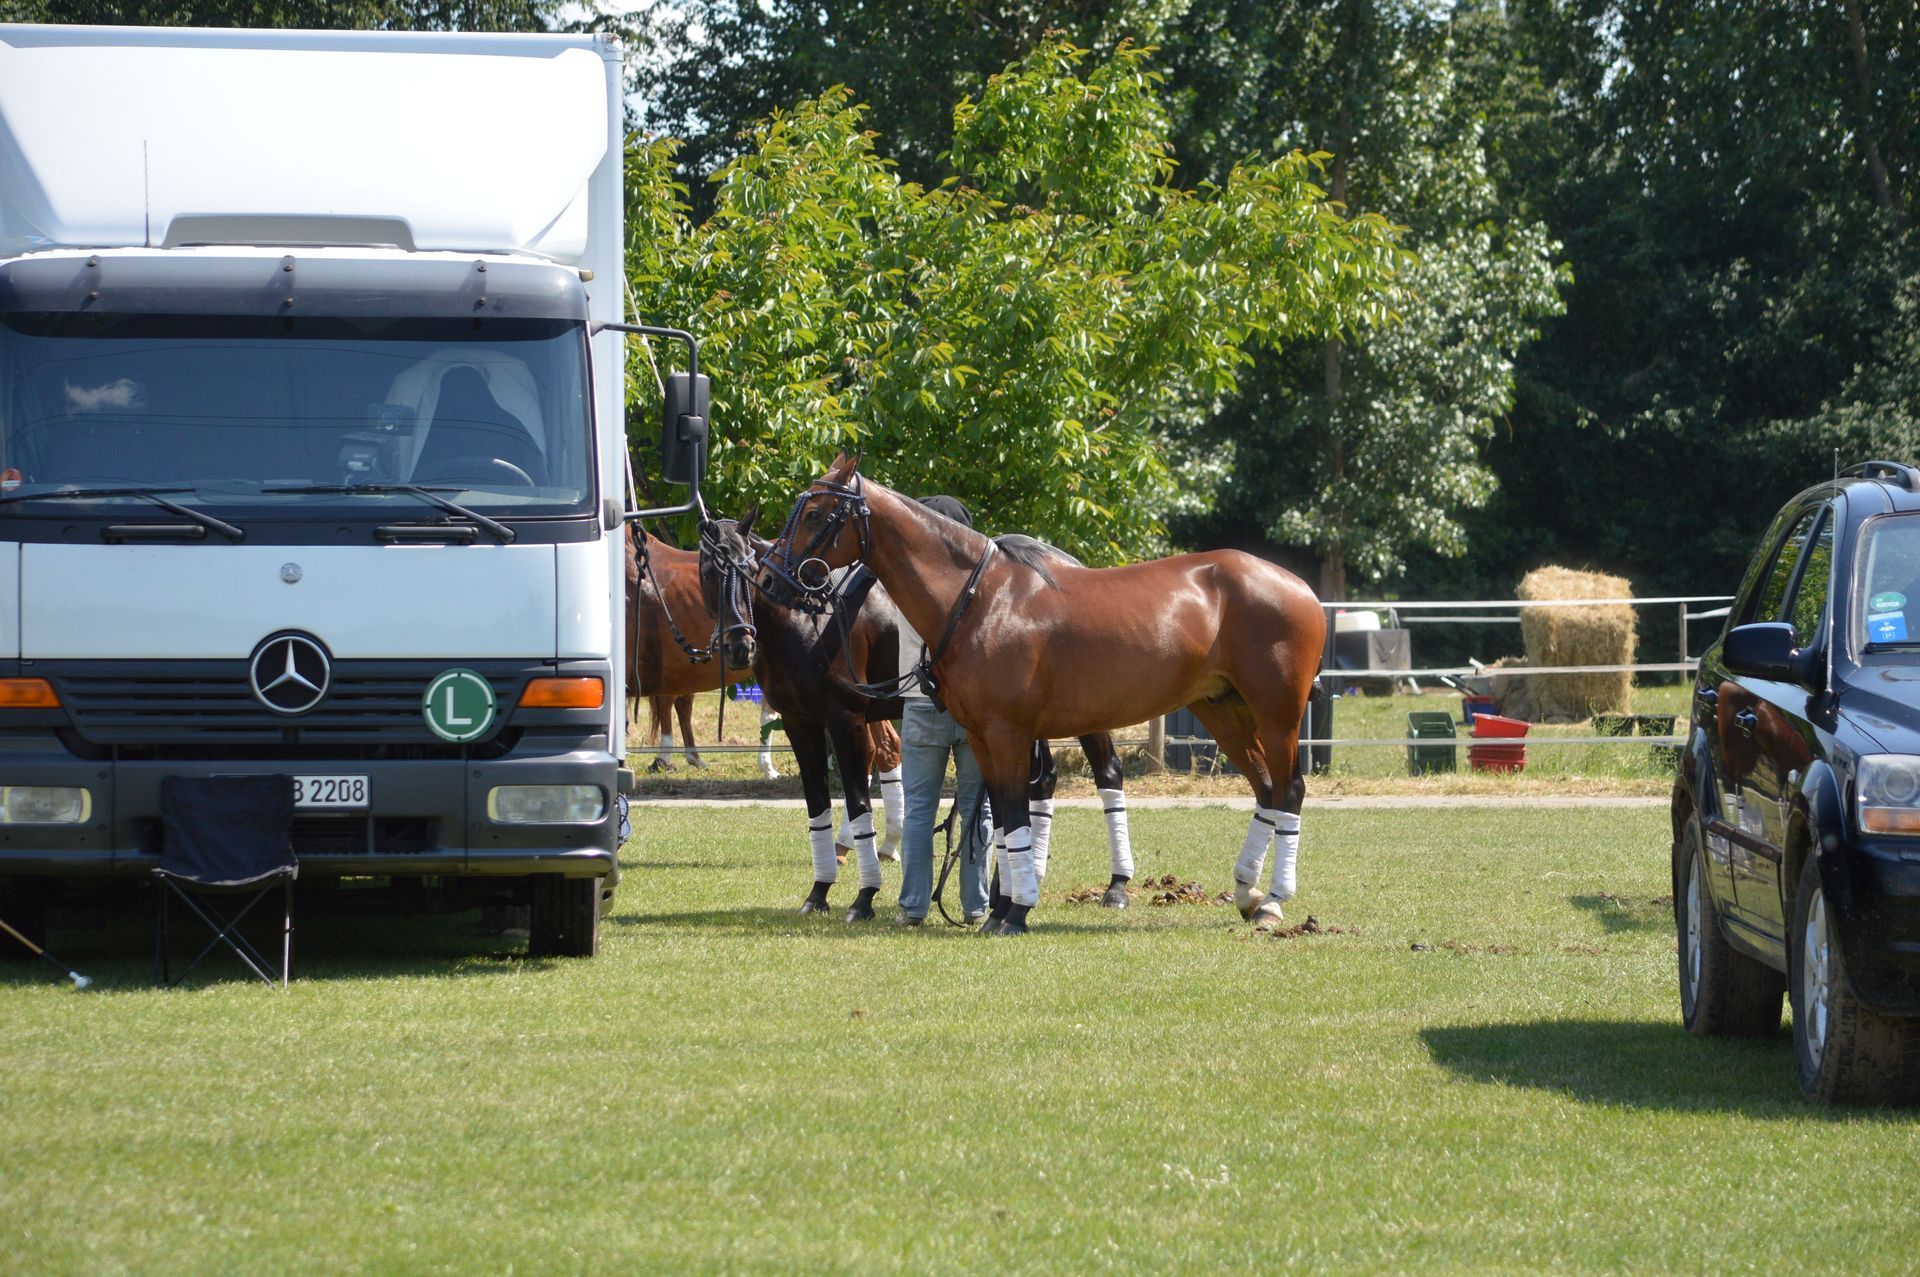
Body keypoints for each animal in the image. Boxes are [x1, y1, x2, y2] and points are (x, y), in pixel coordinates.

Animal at [704, 510, 1137, 921]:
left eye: (745, 567)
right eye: (708, 572)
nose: (738, 645)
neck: (808, 619)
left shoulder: (845, 718)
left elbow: (859, 803)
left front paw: (864, 896)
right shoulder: (800, 722)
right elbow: (818, 806)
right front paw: (819, 891)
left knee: (1106, 773)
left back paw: (1115, 885)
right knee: (1041, 781)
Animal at [757, 453, 1325, 936]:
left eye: (816, 511)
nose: (768, 580)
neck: (981, 600)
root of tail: (1298, 586)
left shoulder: (1006, 733)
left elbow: (1013, 813)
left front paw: (1015, 912)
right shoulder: (983, 737)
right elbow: (1006, 819)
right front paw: (1002, 908)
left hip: (1277, 714)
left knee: (1290, 790)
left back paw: (1274, 902)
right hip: (1223, 711)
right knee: (1265, 788)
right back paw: (1247, 894)